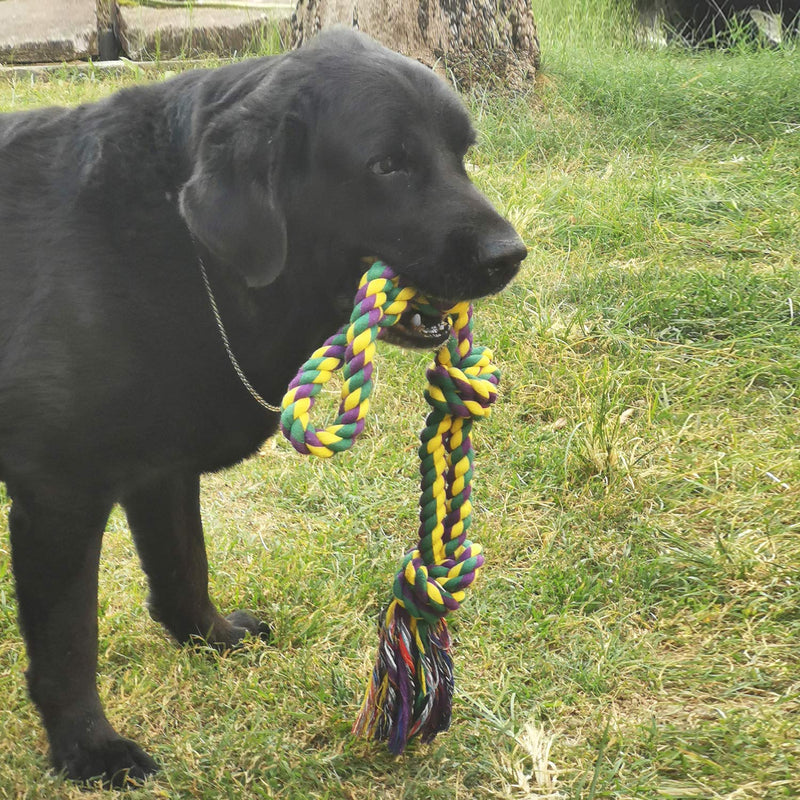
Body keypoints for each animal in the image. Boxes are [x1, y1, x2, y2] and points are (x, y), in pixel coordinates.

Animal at [0, 29, 524, 780]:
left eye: (463, 153)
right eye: (388, 165)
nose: (510, 255)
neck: (184, 252)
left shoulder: (161, 470)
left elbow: (184, 564)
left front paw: (212, 637)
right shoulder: (59, 492)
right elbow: (70, 641)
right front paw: (88, 748)